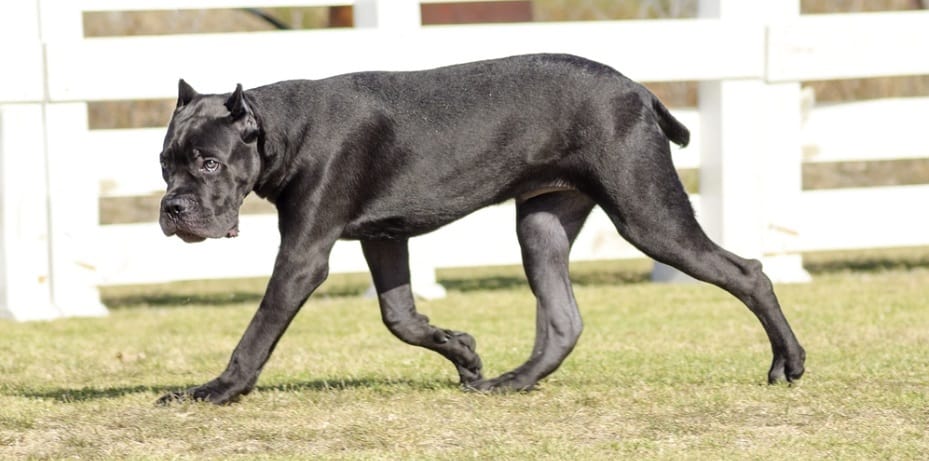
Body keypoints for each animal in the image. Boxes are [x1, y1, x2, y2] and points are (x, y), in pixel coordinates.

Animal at [156, 53, 800, 402]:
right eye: (165, 164)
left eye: (208, 163)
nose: (173, 209)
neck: (280, 131)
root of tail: (640, 92)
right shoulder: (383, 238)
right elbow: (400, 317)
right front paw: (462, 352)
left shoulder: (304, 254)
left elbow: (258, 332)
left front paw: (216, 391)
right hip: (542, 223)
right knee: (563, 321)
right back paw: (510, 382)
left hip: (645, 214)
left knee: (749, 272)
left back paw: (788, 363)